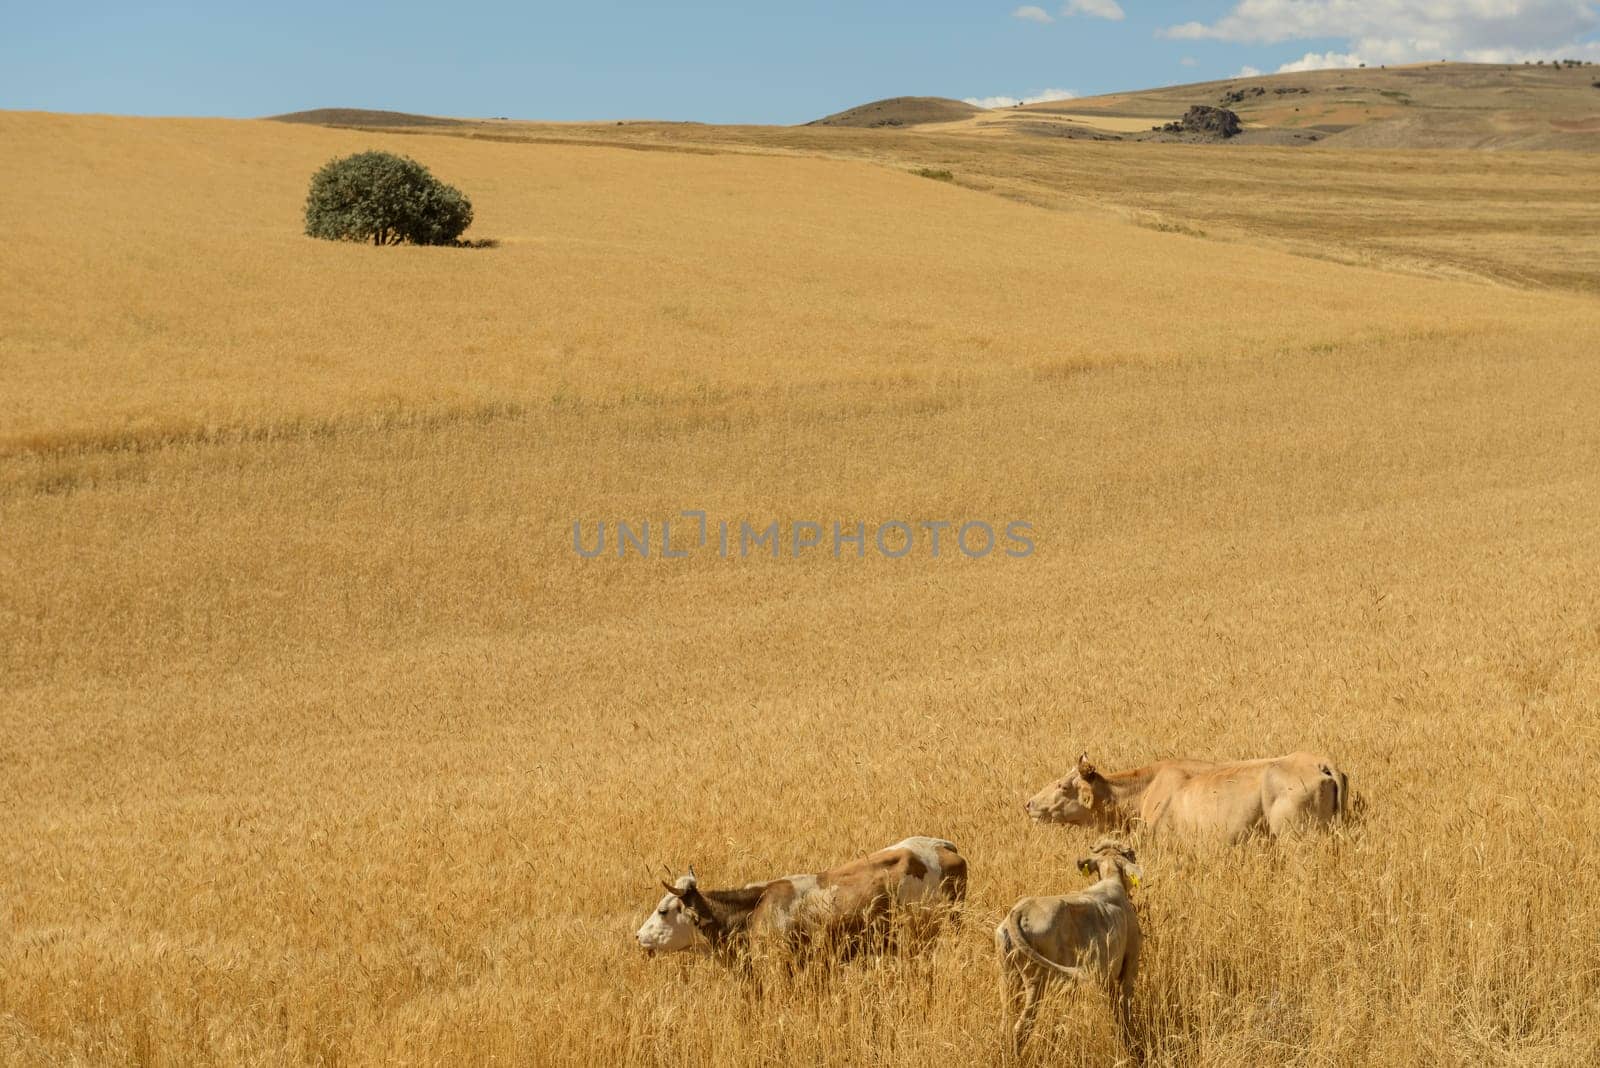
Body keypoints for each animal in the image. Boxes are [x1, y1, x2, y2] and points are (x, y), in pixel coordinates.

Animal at [992, 837, 1145, 1055]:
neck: (1111, 881)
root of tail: (1019, 910)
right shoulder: (1130, 963)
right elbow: (1124, 1007)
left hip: (1007, 975)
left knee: (1005, 1025)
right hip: (1036, 982)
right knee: (1020, 1028)